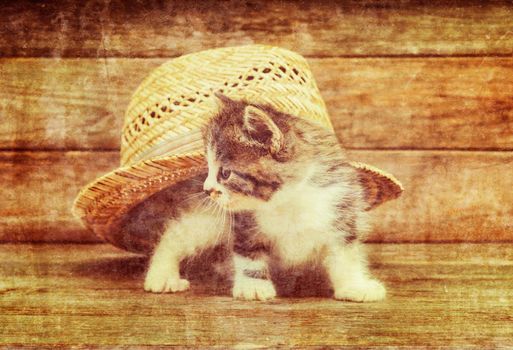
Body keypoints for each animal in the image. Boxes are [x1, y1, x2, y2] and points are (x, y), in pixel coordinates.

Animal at [140, 94, 384, 302]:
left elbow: (345, 255)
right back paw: (162, 276)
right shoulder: (243, 222)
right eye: (208, 168)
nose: (206, 189)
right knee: (176, 236)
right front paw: (253, 286)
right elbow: (248, 251)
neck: (288, 201)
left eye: (225, 173)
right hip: (208, 218)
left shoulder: (342, 208)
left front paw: (354, 286)